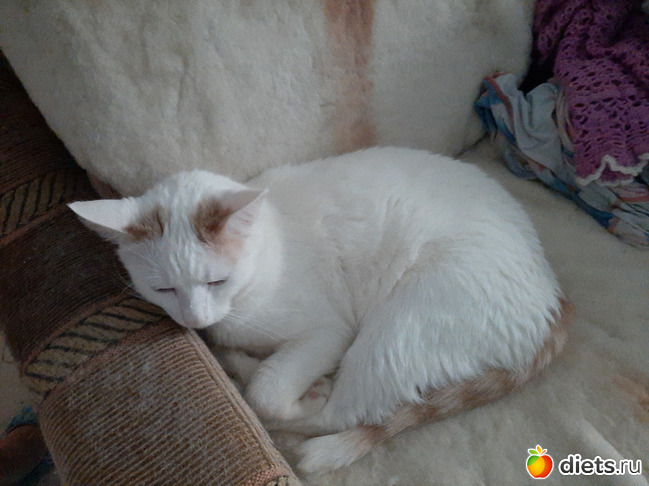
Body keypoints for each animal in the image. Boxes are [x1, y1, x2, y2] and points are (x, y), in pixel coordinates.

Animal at [69, 147, 570, 472]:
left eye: (216, 281)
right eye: (163, 289)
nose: (194, 320)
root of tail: (553, 296)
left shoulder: (327, 331)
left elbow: (266, 392)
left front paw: (281, 384)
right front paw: (235, 354)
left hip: (392, 334)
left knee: (344, 414)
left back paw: (309, 398)